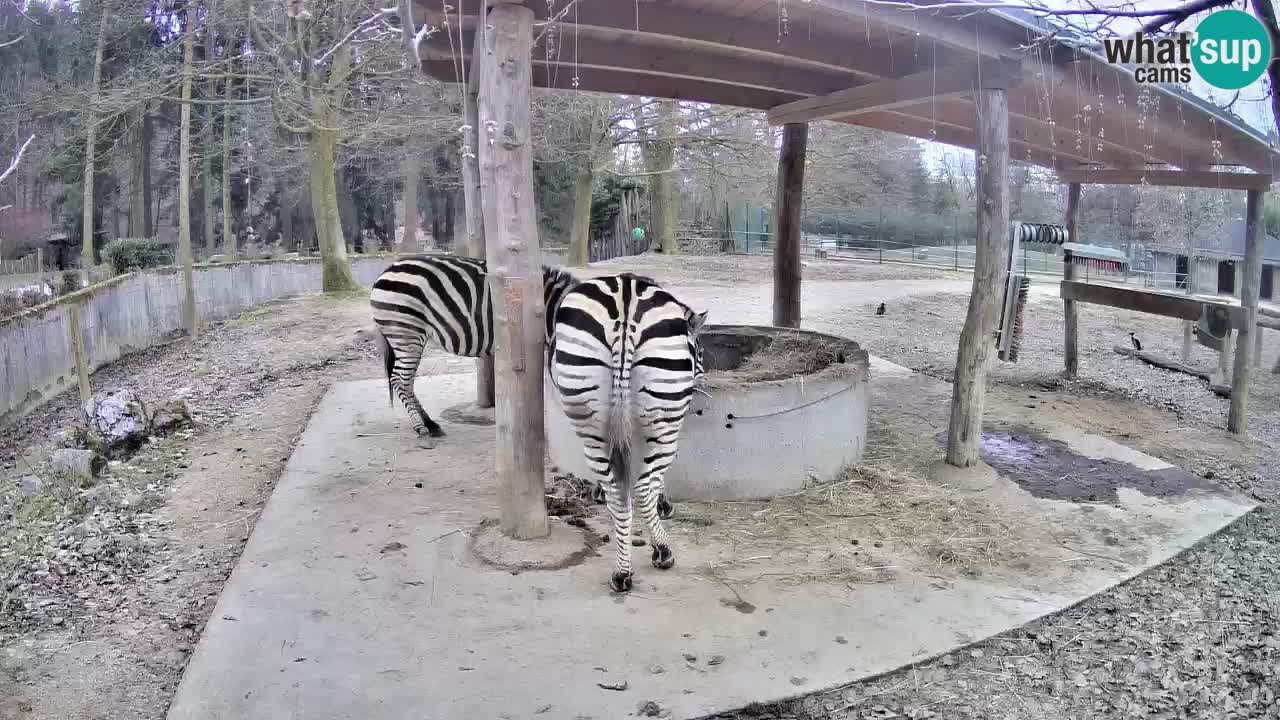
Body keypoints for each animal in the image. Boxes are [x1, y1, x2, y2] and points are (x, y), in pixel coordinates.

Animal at [368, 252, 573, 443]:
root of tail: (385, 271)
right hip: (406, 332)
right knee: (399, 379)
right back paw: (421, 429)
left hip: (409, 337)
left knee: (407, 380)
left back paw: (430, 424)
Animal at [550, 270, 711, 589]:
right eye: (698, 351)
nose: (703, 382)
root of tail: (625, 301)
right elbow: (649, 478)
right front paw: (664, 504)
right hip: (665, 421)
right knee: (642, 485)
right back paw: (662, 550)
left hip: (590, 416)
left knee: (617, 490)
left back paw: (622, 570)